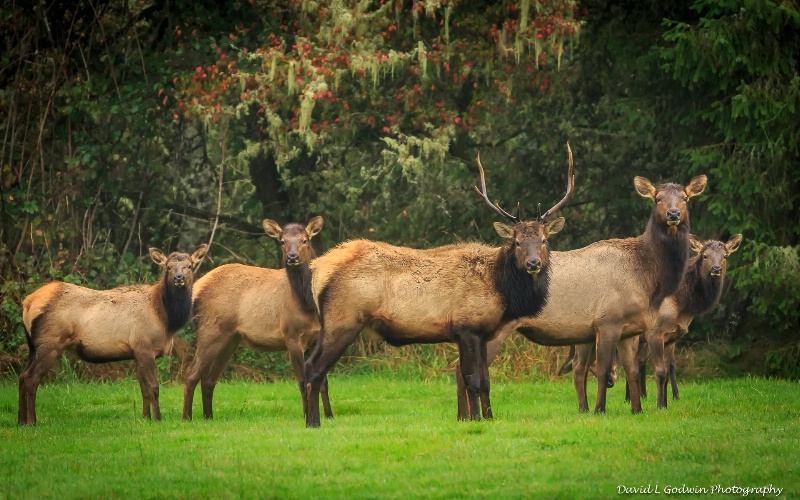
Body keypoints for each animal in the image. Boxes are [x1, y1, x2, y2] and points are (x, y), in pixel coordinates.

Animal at [18, 244, 209, 424]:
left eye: (189, 266)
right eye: (168, 267)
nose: (179, 278)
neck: (165, 318)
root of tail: (28, 303)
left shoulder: (136, 351)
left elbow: (144, 389)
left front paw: (146, 417)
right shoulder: (144, 346)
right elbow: (153, 387)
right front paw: (158, 419)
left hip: (33, 346)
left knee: (22, 377)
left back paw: (21, 421)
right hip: (50, 342)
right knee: (31, 378)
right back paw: (32, 421)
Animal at [184, 217, 332, 420]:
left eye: (305, 240)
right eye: (282, 241)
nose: (292, 257)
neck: (308, 304)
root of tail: (197, 288)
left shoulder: (317, 337)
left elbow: (322, 381)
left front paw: (329, 415)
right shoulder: (291, 335)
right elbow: (302, 381)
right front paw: (306, 416)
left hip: (230, 339)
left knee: (208, 379)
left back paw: (209, 417)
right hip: (210, 331)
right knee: (191, 374)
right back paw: (187, 417)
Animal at [300, 146, 576, 428]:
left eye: (544, 240)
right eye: (517, 242)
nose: (534, 263)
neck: (502, 290)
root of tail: (318, 268)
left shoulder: (483, 332)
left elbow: (486, 381)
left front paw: (488, 416)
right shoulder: (467, 328)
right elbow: (472, 380)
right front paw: (476, 418)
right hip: (343, 319)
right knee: (313, 367)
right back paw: (313, 422)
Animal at [456, 174, 708, 416]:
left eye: (685, 198)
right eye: (657, 198)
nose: (673, 214)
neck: (647, 280)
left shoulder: (631, 329)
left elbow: (633, 370)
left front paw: (637, 409)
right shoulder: (607, 322)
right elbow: (605, 369)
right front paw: (599, 409)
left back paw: (465, 416)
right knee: (463, 369)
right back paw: (475, 415)